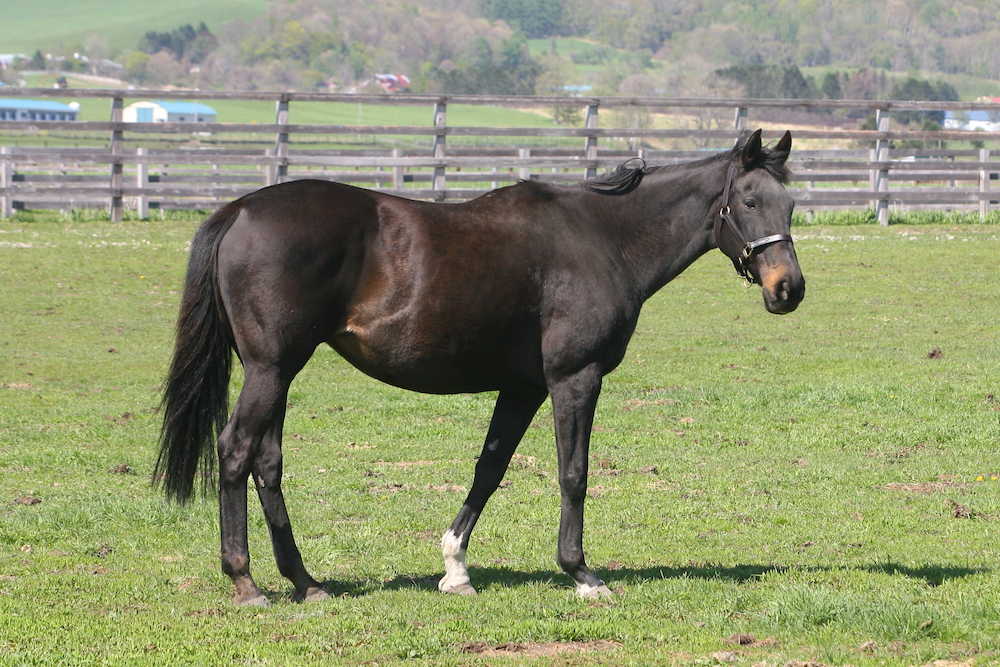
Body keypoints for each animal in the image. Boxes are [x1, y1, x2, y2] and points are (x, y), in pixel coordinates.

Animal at [160, 129, 808, 604]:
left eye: (791, 204)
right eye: (750, 201)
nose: (788, 289)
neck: (604, 238)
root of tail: (239, 210)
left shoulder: (522, 388)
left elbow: (489, 470)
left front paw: (455, 569)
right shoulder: (574, 378)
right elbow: (573, 473)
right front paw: (581, 574)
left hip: (277, 372)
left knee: (266, 462)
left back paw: (305, 581)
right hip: (271, 369)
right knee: (235, 451)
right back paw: (245, 581)